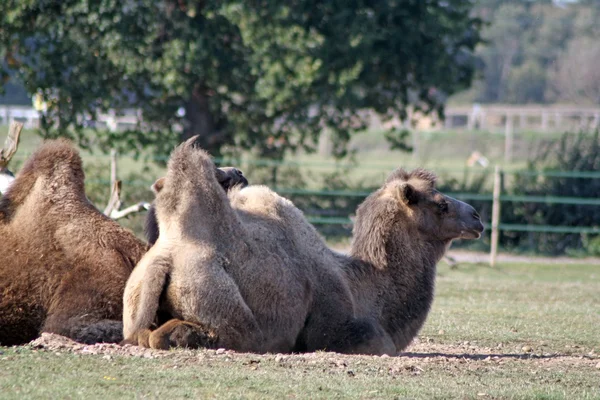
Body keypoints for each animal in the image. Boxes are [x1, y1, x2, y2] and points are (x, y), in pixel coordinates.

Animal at [124, 137, 486, 354]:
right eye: (440, 204)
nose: (477, 217)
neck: (363, 286)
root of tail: (166, 259)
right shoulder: (340, 329)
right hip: (219, 297)